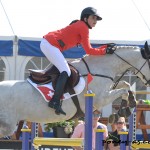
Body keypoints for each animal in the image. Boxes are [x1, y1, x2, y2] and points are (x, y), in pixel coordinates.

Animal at [0, 42, 150, 137]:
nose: (148, 83)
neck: (100, 68)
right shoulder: (101, 98)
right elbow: (124, 90)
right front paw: (125, 108)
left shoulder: (108, 90)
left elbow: (126, 84)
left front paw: (129, 104)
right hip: (7, 126)